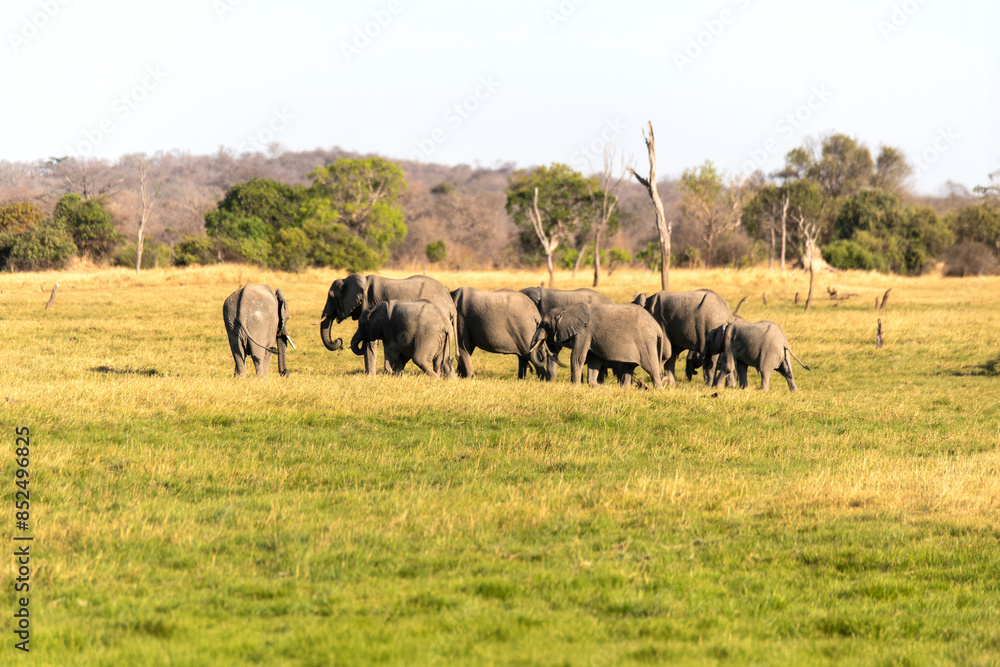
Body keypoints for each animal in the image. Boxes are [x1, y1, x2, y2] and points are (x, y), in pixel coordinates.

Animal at [319, 273, 456, 375]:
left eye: (331, 297)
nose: (338, 340)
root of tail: (450, 302)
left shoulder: (369, 304)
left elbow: (371, 343)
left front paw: (371, 377)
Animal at [529, 302, 667, 389]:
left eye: (545, 324)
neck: (566, 308)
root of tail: (657, 328)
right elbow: (594, 360)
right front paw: (596, 386)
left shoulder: (584, 331)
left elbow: (577, 357)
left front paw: (575, 386)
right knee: (629, 366)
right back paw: (625, 389)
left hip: (646, 343)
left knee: (651, 367)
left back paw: (658, 390)